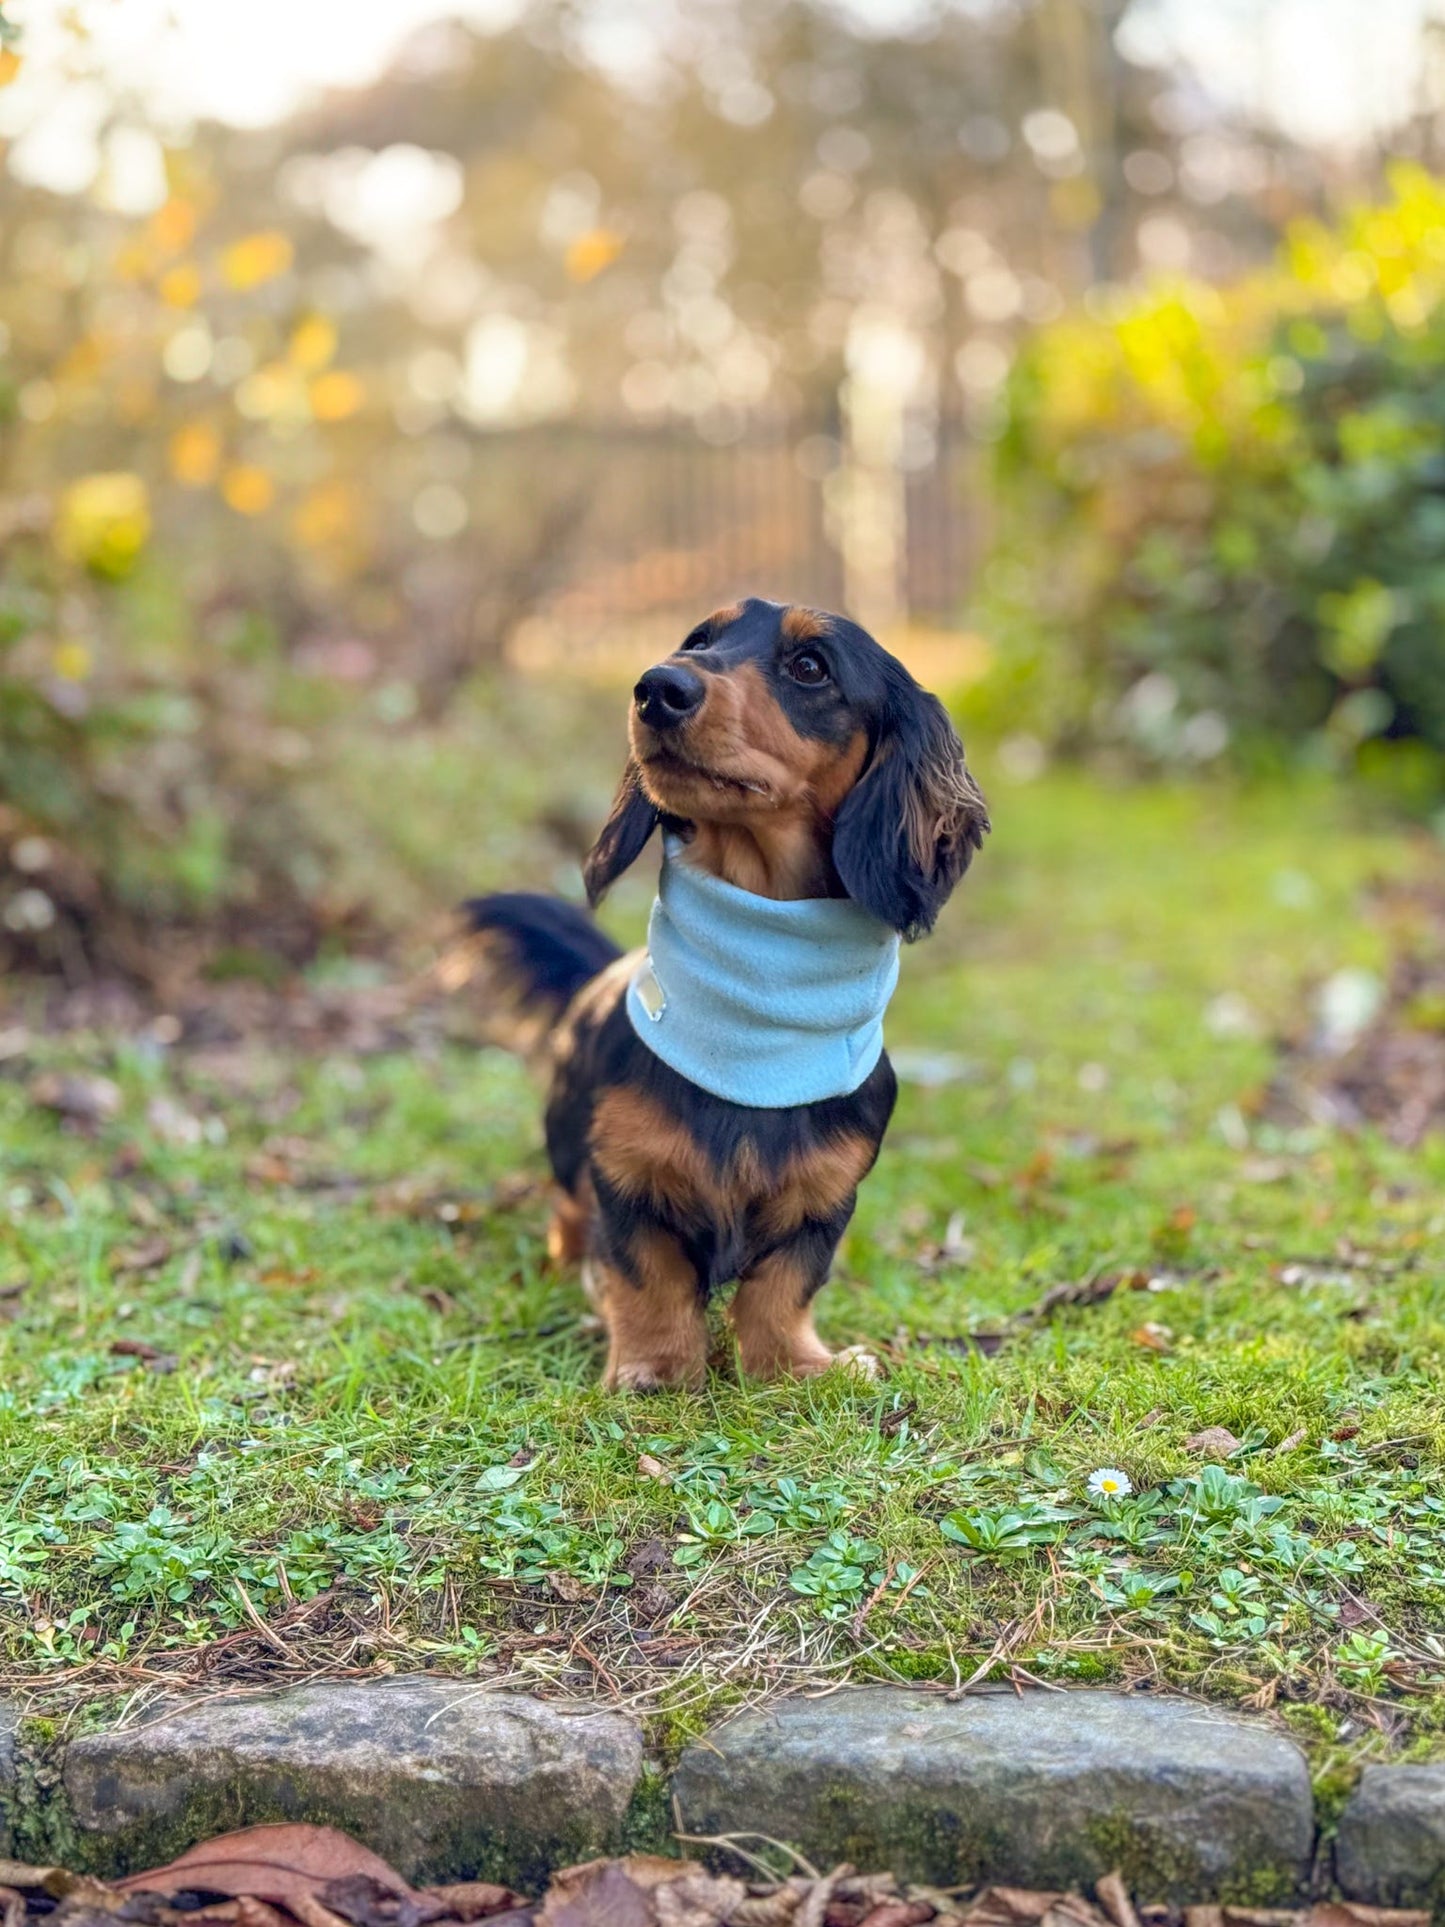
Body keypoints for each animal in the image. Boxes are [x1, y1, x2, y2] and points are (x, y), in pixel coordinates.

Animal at [452, 597, 994, 1387]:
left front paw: (795, 1365)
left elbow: (782, 1287)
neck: (753, 1036)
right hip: (564, 1137)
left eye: (810, 666)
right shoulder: (626, 1179)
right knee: (567, 1213)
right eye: (697, 639)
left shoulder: (823, 1200)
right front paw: (653, 1368)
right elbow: (648, 1277)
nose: (656, 687)